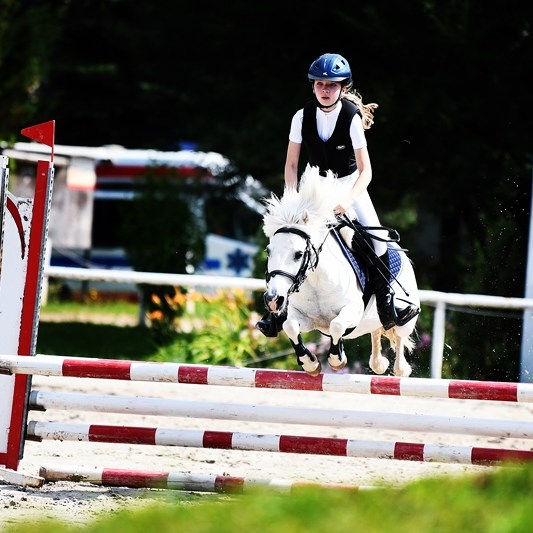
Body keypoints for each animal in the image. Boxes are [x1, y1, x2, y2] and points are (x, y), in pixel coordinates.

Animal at [261, 166, 420, 377]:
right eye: (268, 251)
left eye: (299, 254)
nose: (273, 300)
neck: (315, 281)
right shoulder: (303, 316)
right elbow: (290, 326)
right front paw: (310, 363)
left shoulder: (353, 310)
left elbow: (336, 325)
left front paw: (337, 360)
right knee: (377, 331)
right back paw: (379, 363)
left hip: (406, 320)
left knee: (399, 337)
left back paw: (399, 367)